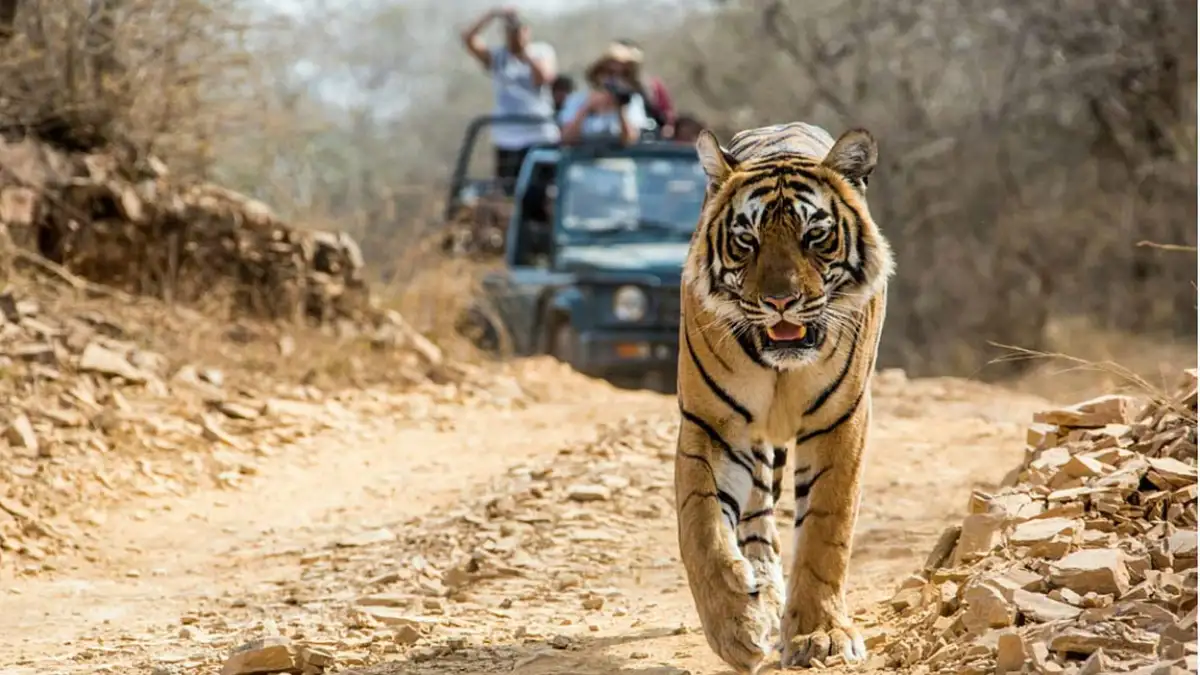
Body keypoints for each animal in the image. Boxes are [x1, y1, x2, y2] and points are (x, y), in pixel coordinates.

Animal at [673, 121, 894, 673]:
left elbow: (825, 532)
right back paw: (762, 592)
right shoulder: (711, 423)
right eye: (746, 240)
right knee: (755, 517)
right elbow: (701, 527)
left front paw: (822, 635)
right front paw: (736, 626)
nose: (780, 301)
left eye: (814, 236)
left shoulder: (841, 420)